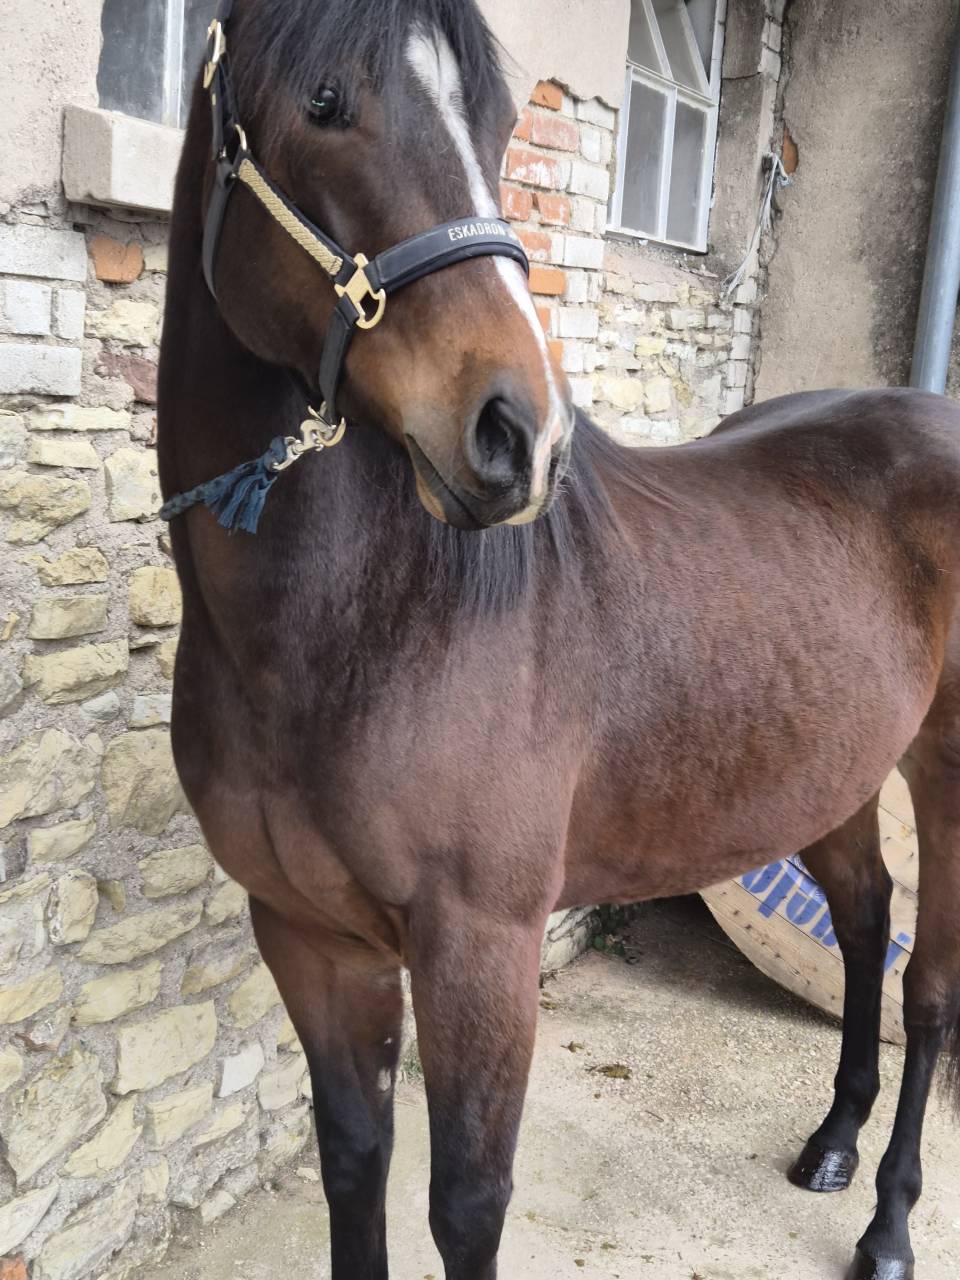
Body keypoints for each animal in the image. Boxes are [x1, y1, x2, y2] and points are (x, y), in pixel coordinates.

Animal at [157, 1, 960, 1277]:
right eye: (325, 102)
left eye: (495, 123)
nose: (516, 434)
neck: (364, 632)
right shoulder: (309, 935)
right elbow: (354, 1166)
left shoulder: (482, 949)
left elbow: (466, 1203)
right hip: (826, 764)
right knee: (867, 915)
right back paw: (833, 1141)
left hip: (944, 767)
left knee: (926, 984)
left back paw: (887, 1224)